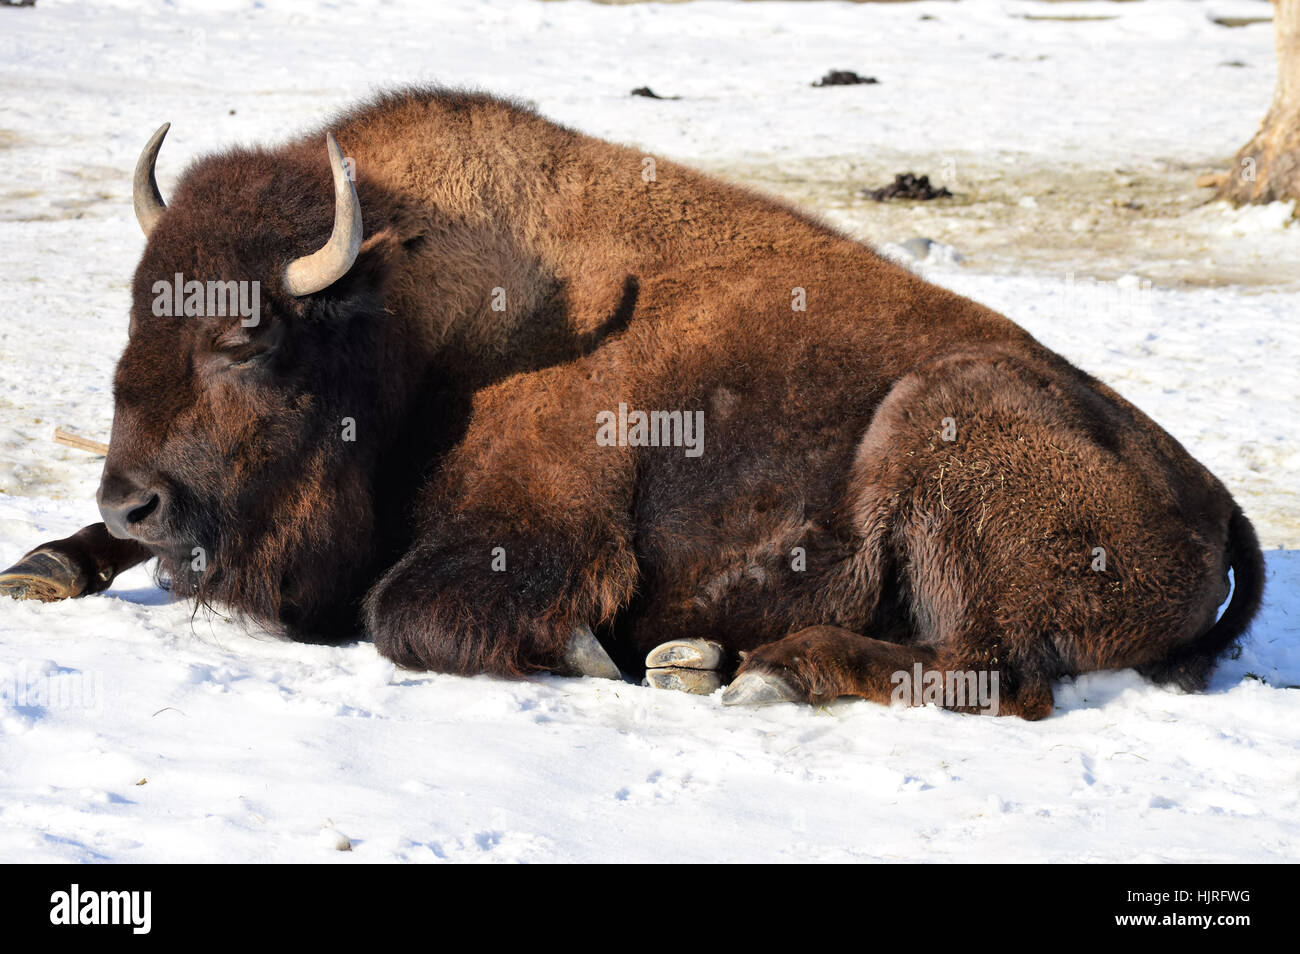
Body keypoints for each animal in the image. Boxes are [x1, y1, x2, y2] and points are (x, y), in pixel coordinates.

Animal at [0, 88, 1263, 718]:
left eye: (247, 335)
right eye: (134, 310)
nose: (131, 501)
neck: (412, 310)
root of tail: (1212, 496)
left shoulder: (544, 529)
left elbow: (403, 611)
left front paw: (594, 658)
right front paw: (46, 564)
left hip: (937, 431)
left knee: (996, 672)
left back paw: (748, 671)